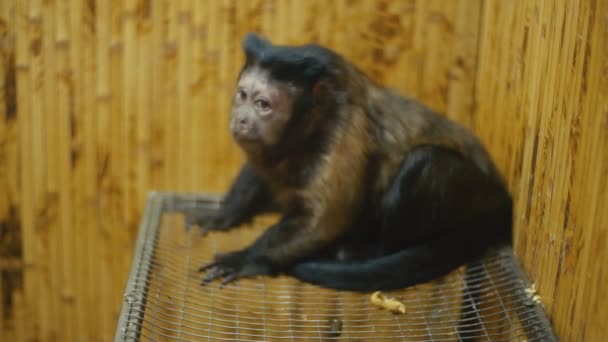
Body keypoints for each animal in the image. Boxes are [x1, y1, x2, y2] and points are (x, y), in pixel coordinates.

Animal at [186, 33, 512, 292]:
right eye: (242, 96)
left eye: (263, 105)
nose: (241, 119)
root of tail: (500, 200)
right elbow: (259, 169)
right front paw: (223, 215)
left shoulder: (344, 127)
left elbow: (327, 219)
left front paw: (248, 258)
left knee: (425, 162)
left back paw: (368, 251)